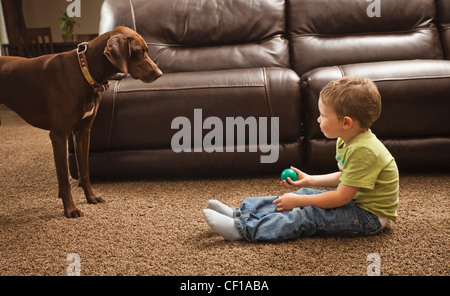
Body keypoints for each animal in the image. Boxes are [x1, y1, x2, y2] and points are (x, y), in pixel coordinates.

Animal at [0, 26, 162, 217]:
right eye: (137, 52)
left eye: (147, 50)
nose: (159, 73)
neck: (83, 71)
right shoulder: (59, 136)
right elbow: (64, 179)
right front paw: (70, 209)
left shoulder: (83, 132)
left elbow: (84, 172)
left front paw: (91, 198)